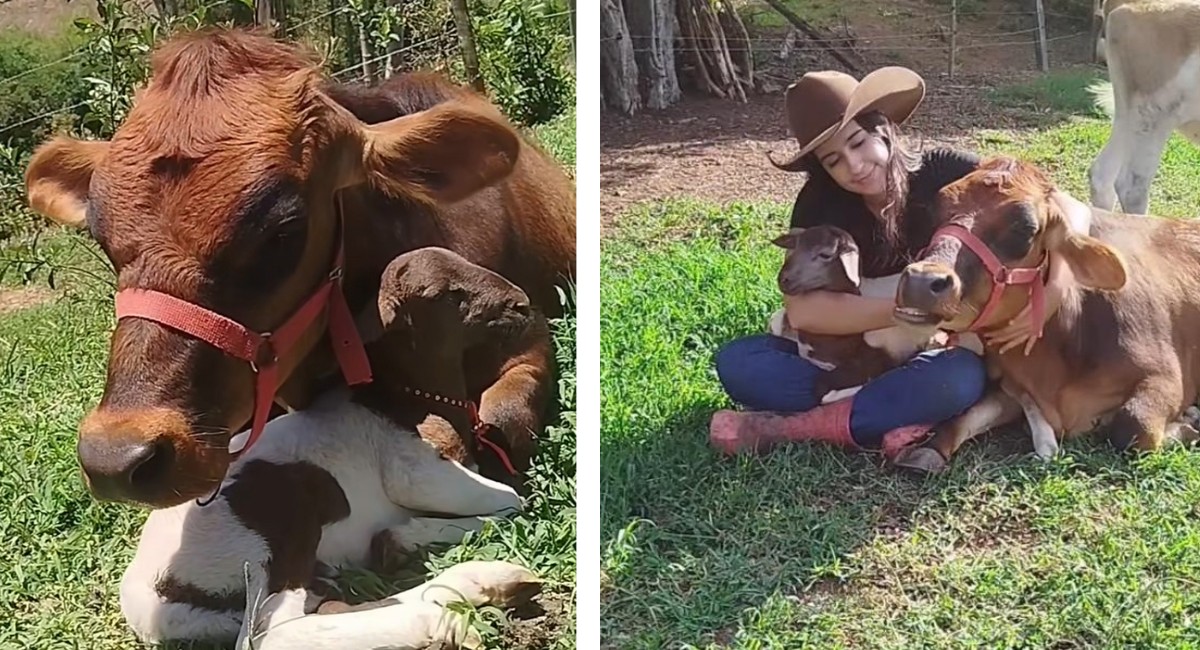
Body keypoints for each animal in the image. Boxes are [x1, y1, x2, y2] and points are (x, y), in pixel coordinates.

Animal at [888, 156, 1200, 473]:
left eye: (1025, 229)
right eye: (936, 208)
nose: (922, 280)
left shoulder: (1164, 377)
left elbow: (1133, 428)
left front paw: (1186, 425)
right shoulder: (1013, 386)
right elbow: (968, 415)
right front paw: (928, 449)